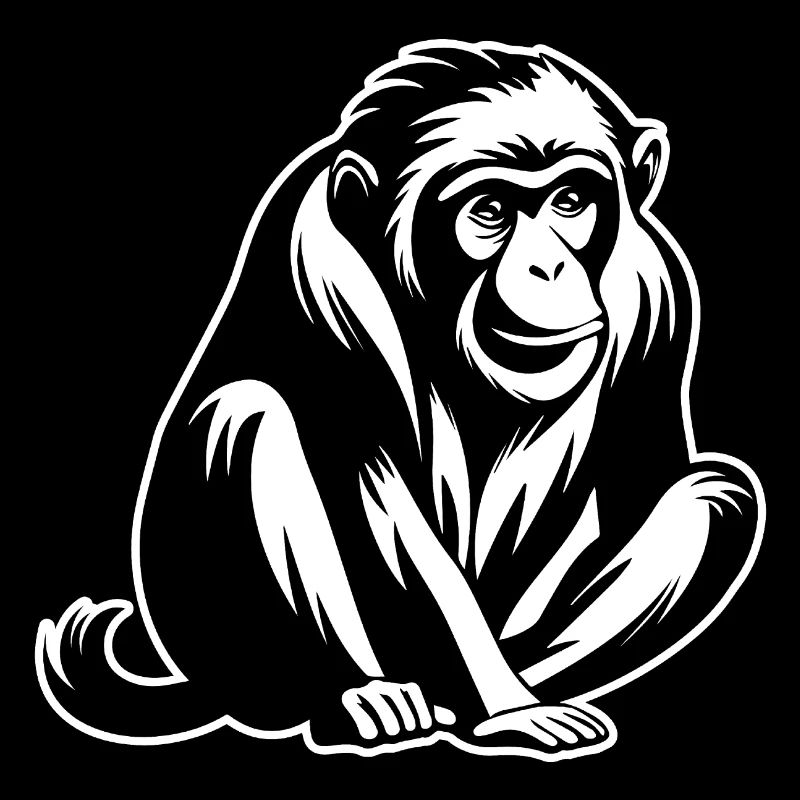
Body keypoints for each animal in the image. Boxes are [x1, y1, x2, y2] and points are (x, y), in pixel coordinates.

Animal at [36, 40, 764, 761]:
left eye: (571, 200)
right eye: (490, 212)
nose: (549, 267)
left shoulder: (658, 290)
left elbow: (646, 480)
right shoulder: (326, 278)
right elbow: (384, 494)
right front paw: (508, 710)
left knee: (717, 498)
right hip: (228, 648)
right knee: (245, 420)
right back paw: (356, 699)